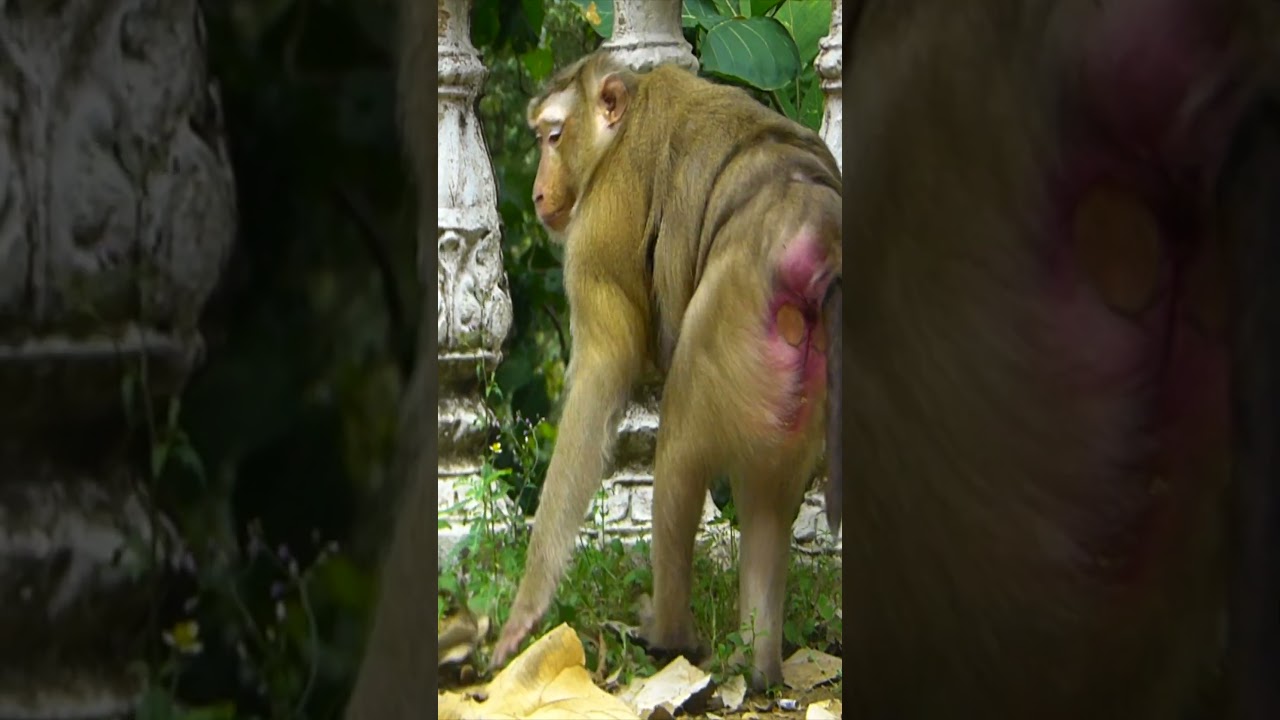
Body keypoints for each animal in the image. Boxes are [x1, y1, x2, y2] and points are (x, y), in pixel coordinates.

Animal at [490, 52, 843, 690]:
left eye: (552, 136)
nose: (537, 191)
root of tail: (817, 231)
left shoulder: (602, 216)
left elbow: (603, 371)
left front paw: (527, 610)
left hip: (728, 326)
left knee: (680, 448)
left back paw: (671, 637)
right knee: (766, 499)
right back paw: (756, 664)